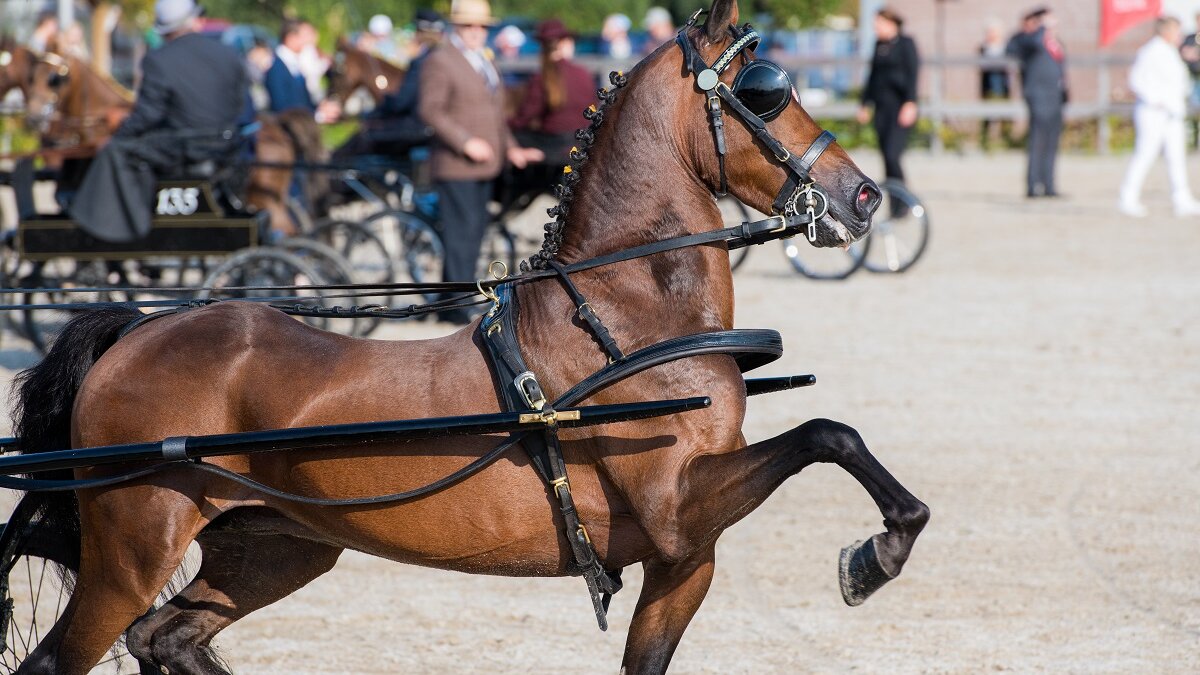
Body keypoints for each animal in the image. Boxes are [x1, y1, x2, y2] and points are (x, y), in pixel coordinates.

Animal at [7, 2, 926, 667]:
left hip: (272, 546)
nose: (864, 196)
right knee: (72, 655)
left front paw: (879, 547)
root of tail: (139, 332)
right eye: (766, 87)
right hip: (131, 551)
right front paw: (876, 553)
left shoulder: (681, 558)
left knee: (167, 637)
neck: (626, 322)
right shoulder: (679, 508)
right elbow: (827, 432)